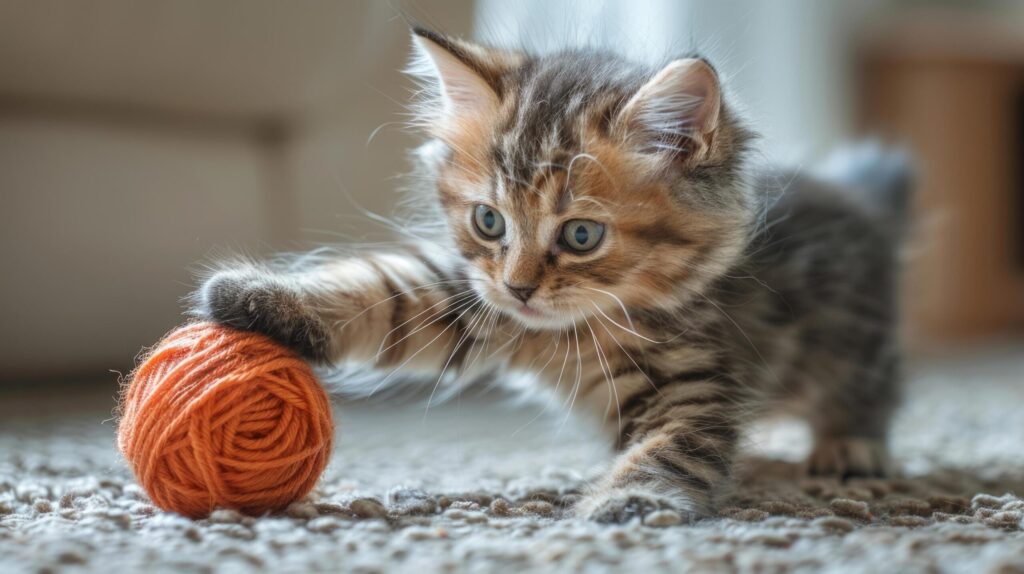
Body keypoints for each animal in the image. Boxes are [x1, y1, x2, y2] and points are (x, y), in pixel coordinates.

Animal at [195, 28, 909, 523]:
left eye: (581, 236)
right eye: (488, 222)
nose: (519, 286)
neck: (571, 329)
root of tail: (861, 197)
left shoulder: (697, 381)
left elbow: (673, 446)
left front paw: (634, 500)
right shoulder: (468, 299)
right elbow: (382, 292)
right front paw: (254, 297)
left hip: (854, 339)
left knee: (870, 388)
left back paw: (851, 449)